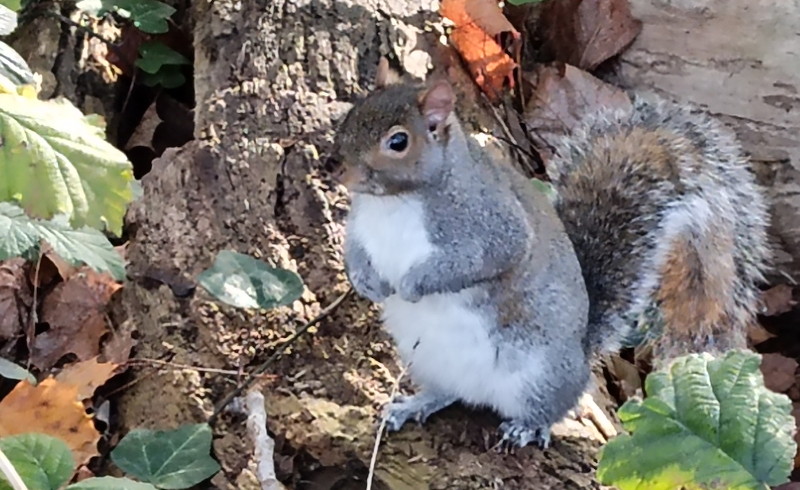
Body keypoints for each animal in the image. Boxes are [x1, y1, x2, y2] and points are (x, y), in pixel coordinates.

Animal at [333, 60, 770, 449]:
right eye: (350, 115)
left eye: (398, 142)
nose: (336, 168)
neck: (392, 202)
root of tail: (581, 353)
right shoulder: (360, 224)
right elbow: (354, 250)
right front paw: (366, 281)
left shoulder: (490, 224)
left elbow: (479, 260)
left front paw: (412, 284)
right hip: (427, 359)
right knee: (447, 392)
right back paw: (414, 404)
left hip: (540, 376)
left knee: (551, 407)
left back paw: (527, 428)